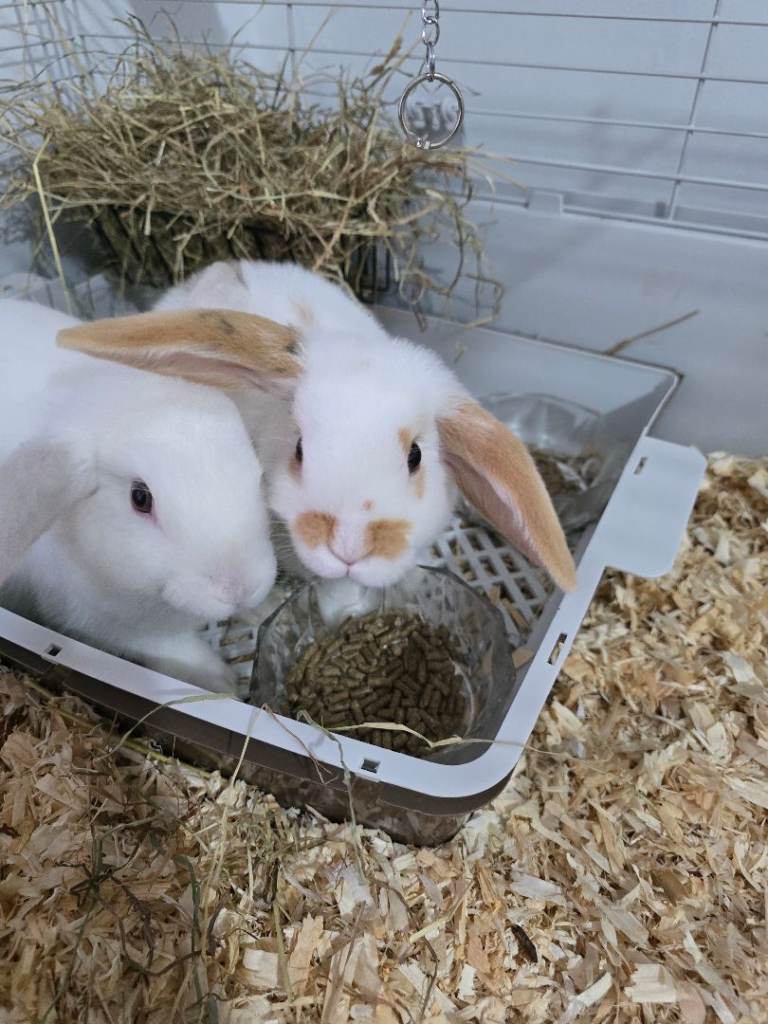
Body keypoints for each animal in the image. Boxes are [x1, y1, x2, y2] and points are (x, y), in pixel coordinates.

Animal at [0, 298, 279, 693]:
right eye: (140, 499)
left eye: (252, 462)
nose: (237, 588)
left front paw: (267, 605)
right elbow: (174, 648)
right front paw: (222, 684)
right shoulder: (108, 624)